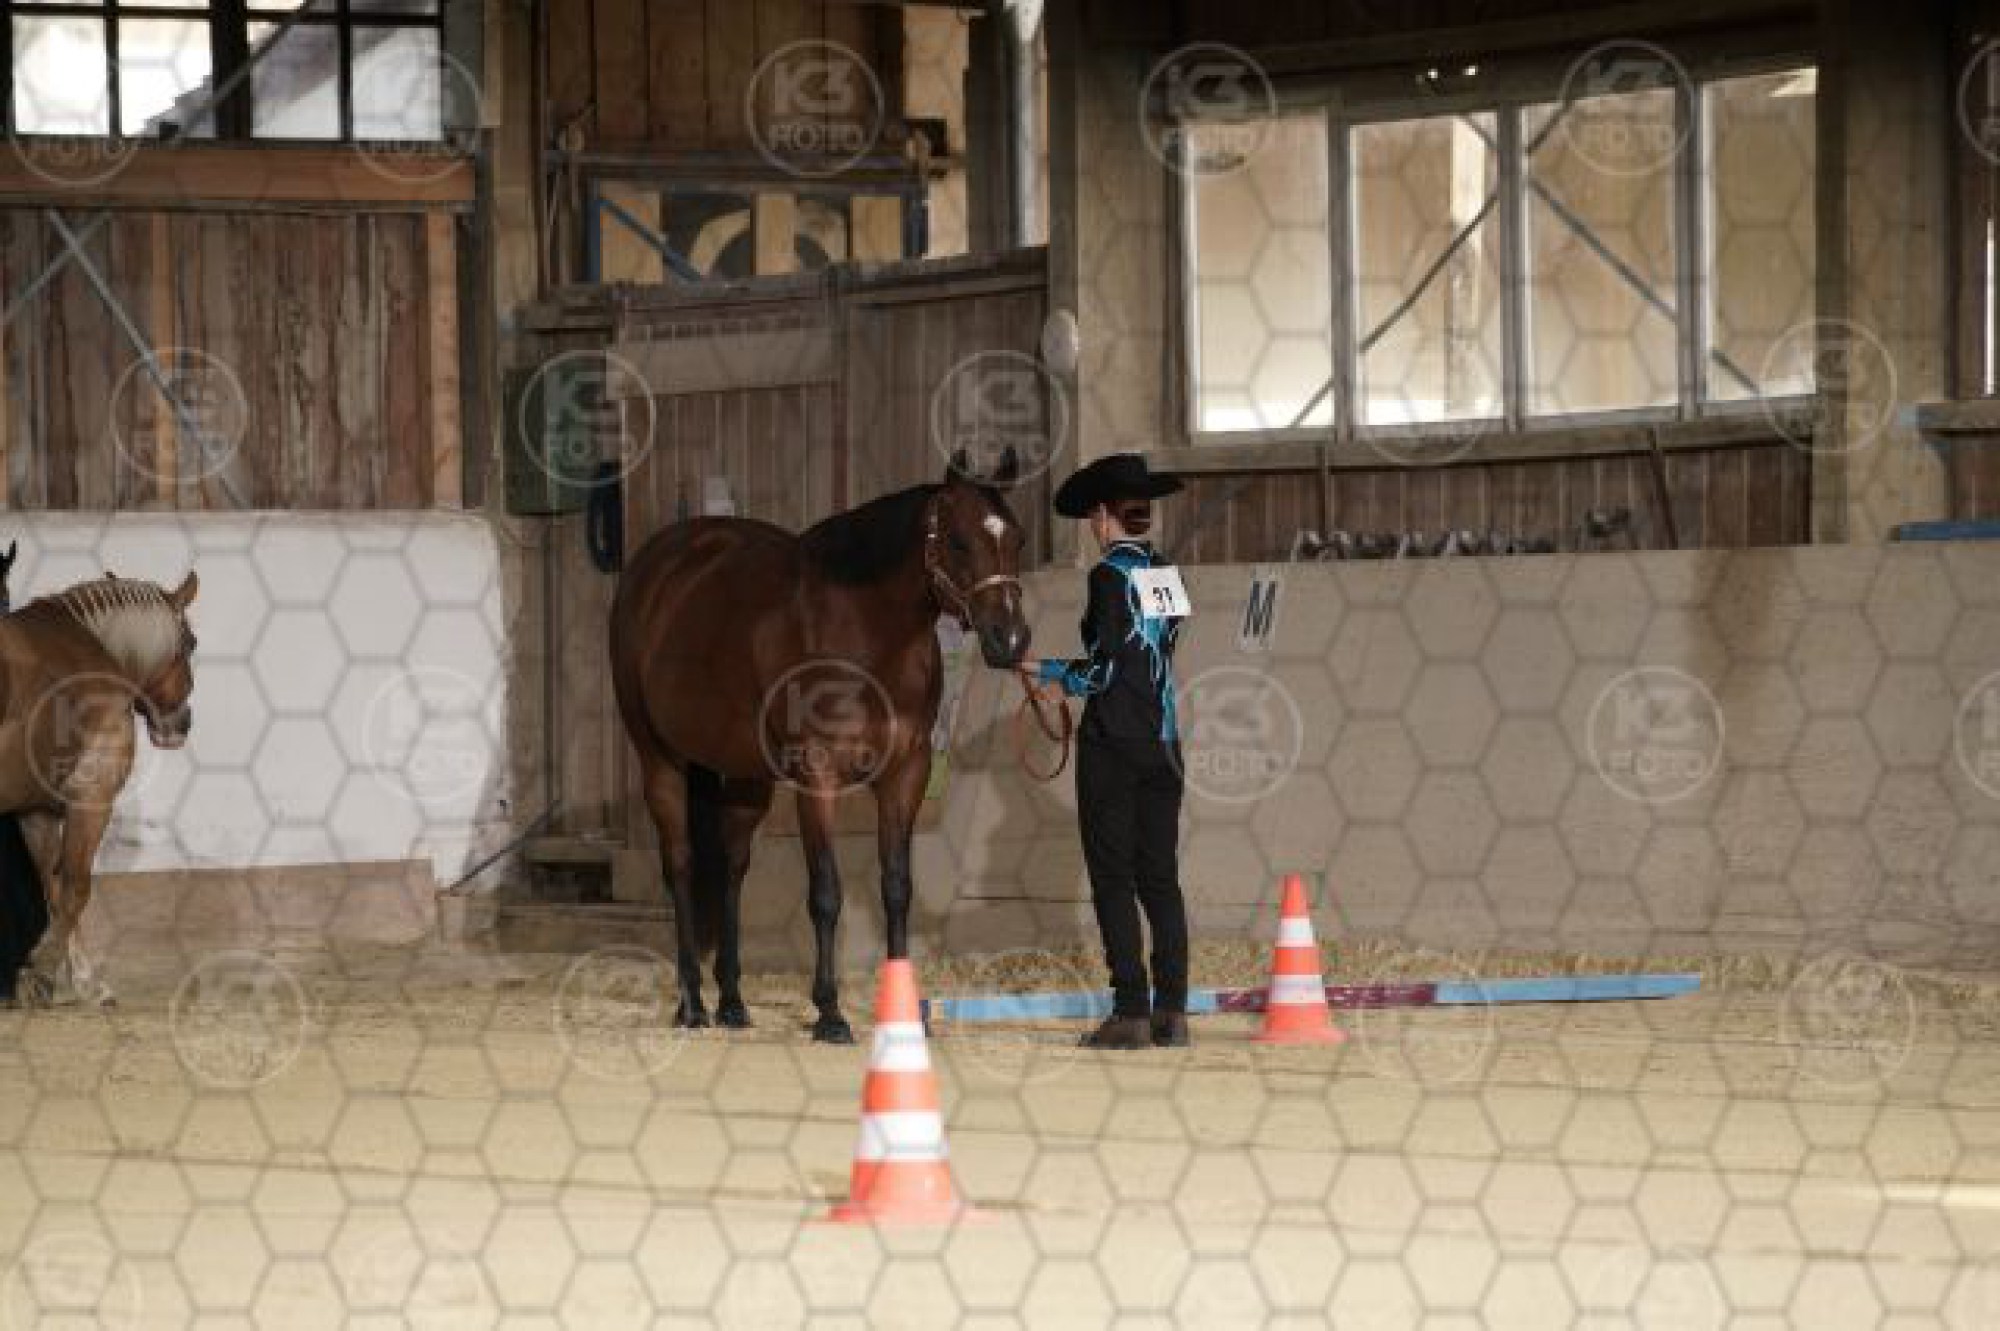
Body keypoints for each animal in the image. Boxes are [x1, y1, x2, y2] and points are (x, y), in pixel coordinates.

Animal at [0, 571, 199, 1006]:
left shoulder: (36, 812)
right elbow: (76, 887)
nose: (182, 724)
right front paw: (63, 976)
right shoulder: (92, 799)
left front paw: (74, 977)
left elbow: (53, 890)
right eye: (192, 643)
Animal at [609, 453, 1032, 1042]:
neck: (864, 632)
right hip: (660, 759)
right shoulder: (818, 776)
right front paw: (829, 1012)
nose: (1009, 641)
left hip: (745, 776)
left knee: (732, 868)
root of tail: (655, 567)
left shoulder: (907, 774)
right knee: (681, 866)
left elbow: (896, 887)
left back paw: (732, 1002)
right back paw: (692, 1004)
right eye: (959, 541)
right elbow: (826, 893)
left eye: (1016, 538)